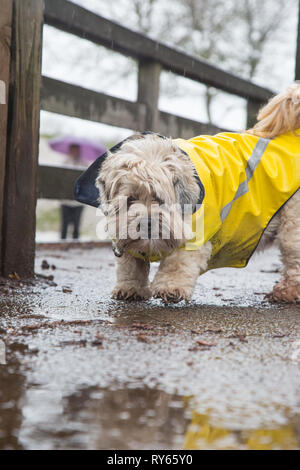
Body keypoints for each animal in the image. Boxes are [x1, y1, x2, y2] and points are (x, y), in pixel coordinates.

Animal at [95, 83, 300, 304]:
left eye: (160, 199)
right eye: (130, 199)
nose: (146, 222)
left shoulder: (197, 235)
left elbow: (177, 262)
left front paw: (170, 287)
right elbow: (130, 265)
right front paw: (130, 288)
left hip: (292, 229)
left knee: (293, 260)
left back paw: (286, 292)